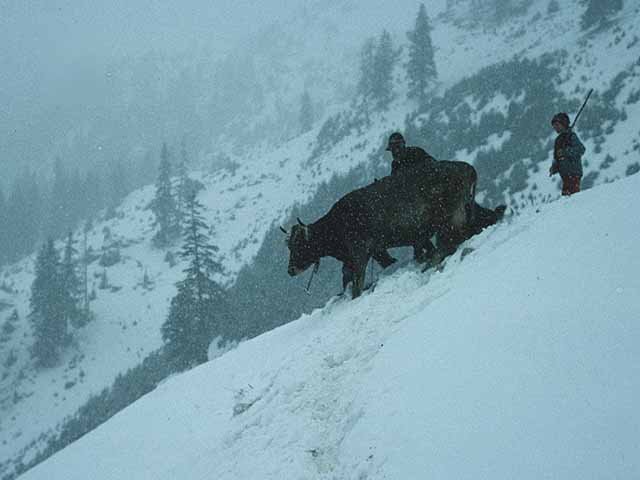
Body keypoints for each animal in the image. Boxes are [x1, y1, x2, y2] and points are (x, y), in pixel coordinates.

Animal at [286, 160, 504, 296]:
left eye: (299, 245)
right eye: (289, 246)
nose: (290, 270)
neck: (336, 226)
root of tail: (467, 167)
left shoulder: (359, 253)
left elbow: (356, 284)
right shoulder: (374, 251)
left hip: (451, 217)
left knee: (451, 240)